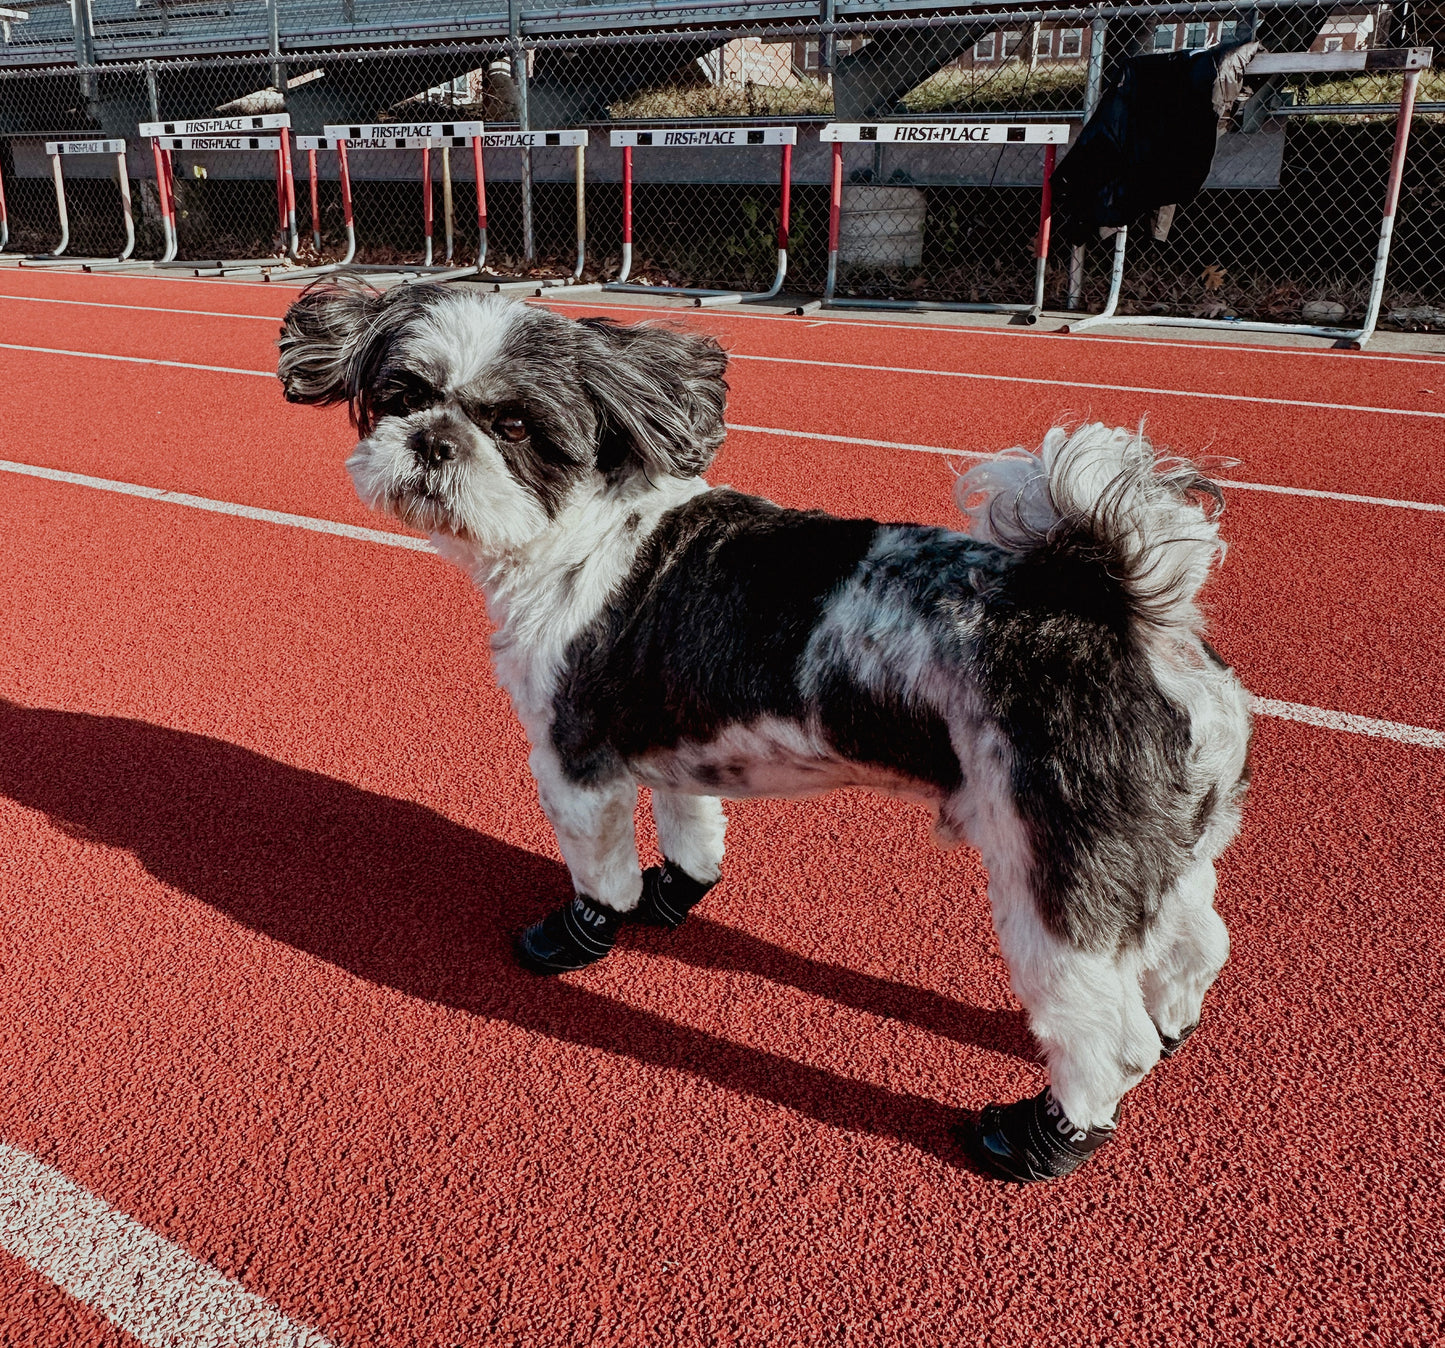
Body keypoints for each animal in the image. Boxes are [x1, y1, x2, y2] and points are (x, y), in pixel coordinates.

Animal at [275, 278, 1248, 1184]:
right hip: (1162, 850)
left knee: (1104, 1035)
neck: (580, 537)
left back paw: (1042, 1135)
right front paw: (675, 895)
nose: (432, 441)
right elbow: (691, 835)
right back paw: (1175, 1026)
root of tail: (1125, 616)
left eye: (512, 424)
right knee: (1196, 947)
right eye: (403, 395)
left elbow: (598, 877)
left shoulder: (575, 762)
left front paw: (580, 934)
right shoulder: (675, 743)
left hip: (1056, 868)